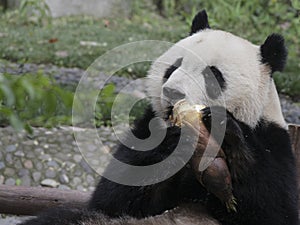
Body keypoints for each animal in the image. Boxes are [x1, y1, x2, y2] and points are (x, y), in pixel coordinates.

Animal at [20, 9, 298, 225]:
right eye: (173, 67)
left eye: (212, 75)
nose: (173, 92)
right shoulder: (145, 126)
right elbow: (113, 197)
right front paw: (173, 140)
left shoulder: (274, 140)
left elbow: (275, 209)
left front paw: (228, 131)